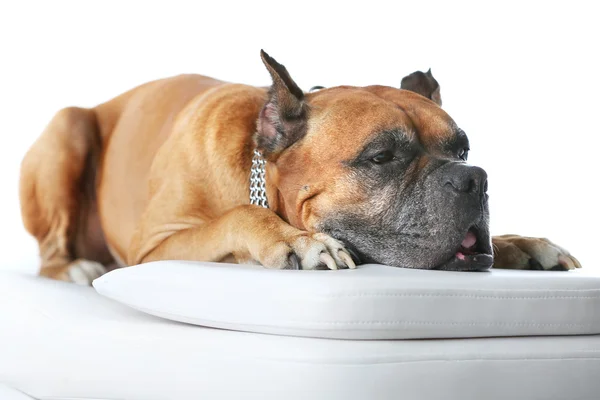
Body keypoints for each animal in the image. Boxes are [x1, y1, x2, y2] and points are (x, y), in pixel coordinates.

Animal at [19, 50, 580, 284]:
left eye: (463, 151)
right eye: (382, 158)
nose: (473, 178)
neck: (257, 166)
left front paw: (522, 244)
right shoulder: (153, 250)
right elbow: (236, 217)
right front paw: (300, 242)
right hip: (68, 132)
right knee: (49, 253)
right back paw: (75, 267)